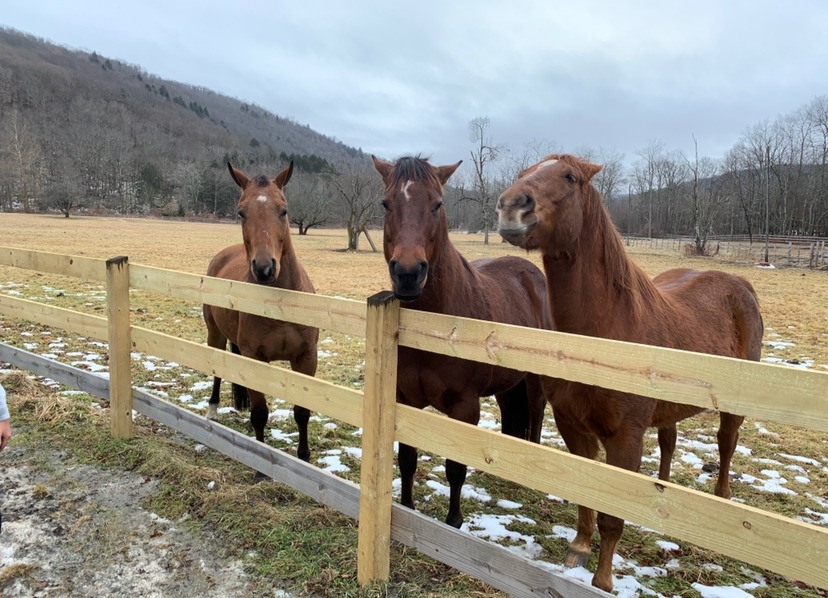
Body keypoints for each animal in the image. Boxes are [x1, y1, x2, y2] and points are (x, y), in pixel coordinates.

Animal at [202, 162, 318, 466]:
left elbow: (302, 412)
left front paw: (304, 458)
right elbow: (260, 413)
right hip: (214, 334)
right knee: (217, 369)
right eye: (241, 212)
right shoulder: (255, 358)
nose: (265, 268)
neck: (281, 303)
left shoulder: (306, 358)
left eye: (284, 210)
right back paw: (212, 409)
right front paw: (260, 465)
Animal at [374, 156, 552, 528]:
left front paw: (453, 520)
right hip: (507, 385)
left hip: (535, 381)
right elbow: (408, 459)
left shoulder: (464, 407)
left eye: (437, 205)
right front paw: (407, 507)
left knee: (535, 417)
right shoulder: (404, 399)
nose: (408, 274)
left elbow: (455, 468)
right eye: (386, 204)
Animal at [498, 155, 764, 596]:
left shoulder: (624, 437)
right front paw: (579, 548)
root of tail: (739, 284)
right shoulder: (572, 426)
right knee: (669, 443)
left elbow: (612, 515)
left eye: (569, 177)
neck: (608, 334)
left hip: (732, 407)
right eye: (524, 172)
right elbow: (587, 494)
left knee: (727, 444)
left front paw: (603, 580)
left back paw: (723, 496)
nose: (511, 206)